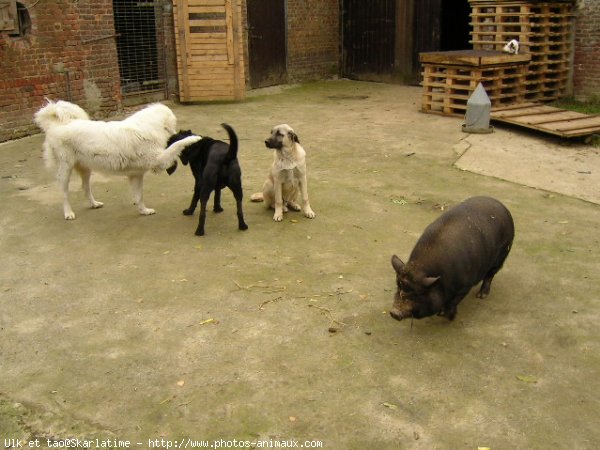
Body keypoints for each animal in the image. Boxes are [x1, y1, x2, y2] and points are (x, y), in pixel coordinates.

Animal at [34, 100, 200, 220]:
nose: (177, 131)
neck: (149, 126)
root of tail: (57, 124)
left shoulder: (136, 175)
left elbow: (139, 196)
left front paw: (143, 211)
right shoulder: (158, 162)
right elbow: (176, 145)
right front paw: (192, 139)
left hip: (86, 168)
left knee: (85, 188)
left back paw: (94, 204)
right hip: (65, 169)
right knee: (64, 193)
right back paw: (68, 213)